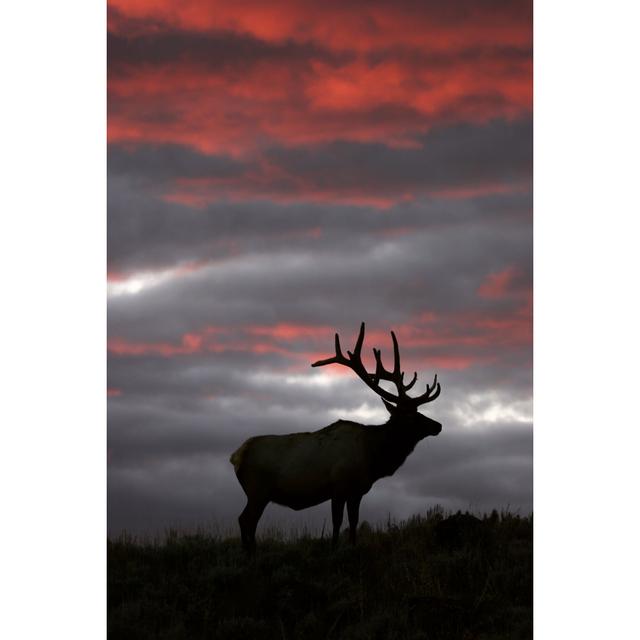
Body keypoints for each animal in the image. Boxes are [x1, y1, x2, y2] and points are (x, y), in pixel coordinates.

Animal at [231, 322, 444, 552]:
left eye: (419, 412)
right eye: (410, 416)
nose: (438, 425)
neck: (373, 457)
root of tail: (237, 456)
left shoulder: (357, 491)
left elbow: (353, 521)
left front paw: (352, 546)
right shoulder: (339, 486)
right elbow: (337, 522)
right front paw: (333, 548)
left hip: (258, 493)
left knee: (248, 521)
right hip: (257, 490)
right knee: (245, 520)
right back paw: (249, 553)